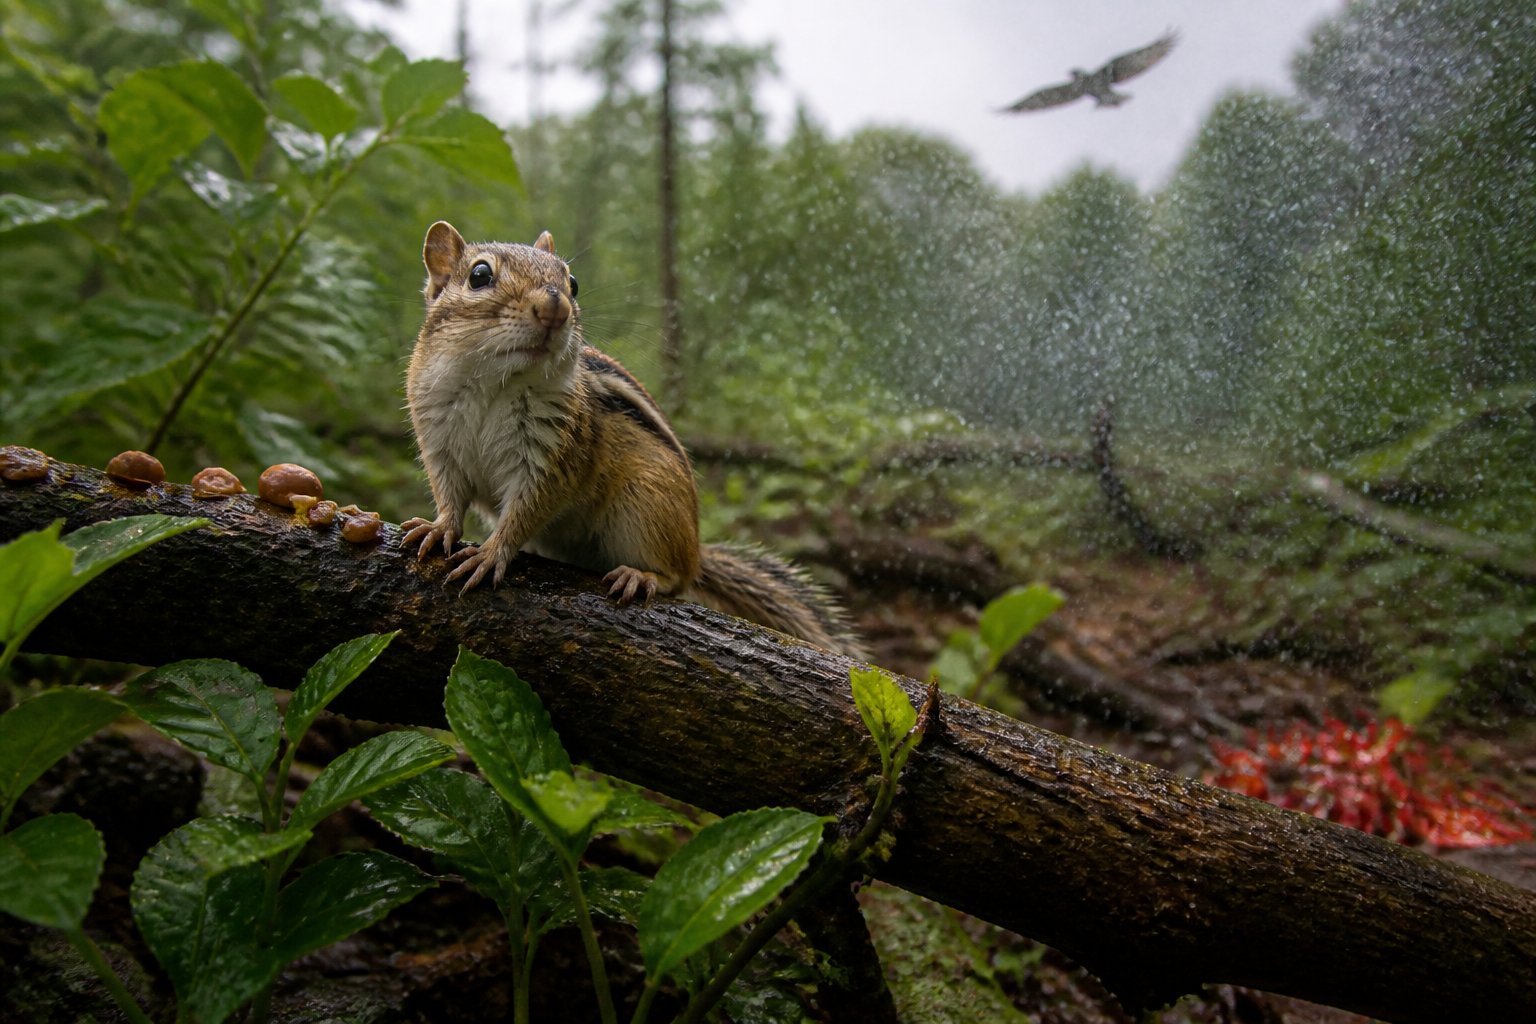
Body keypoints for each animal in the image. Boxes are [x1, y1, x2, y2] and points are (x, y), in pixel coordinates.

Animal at [401, 221, 864, 659]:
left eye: (572, 283)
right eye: (479, 275)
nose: (555, 305)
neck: (495, 384)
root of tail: (696, 550)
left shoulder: (555, 455)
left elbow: (526, 509)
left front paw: (491, 552)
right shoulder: (439, 442)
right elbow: (449, 495)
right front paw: (438, 528)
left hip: (647, 503)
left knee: (676, 579)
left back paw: (641, 574)